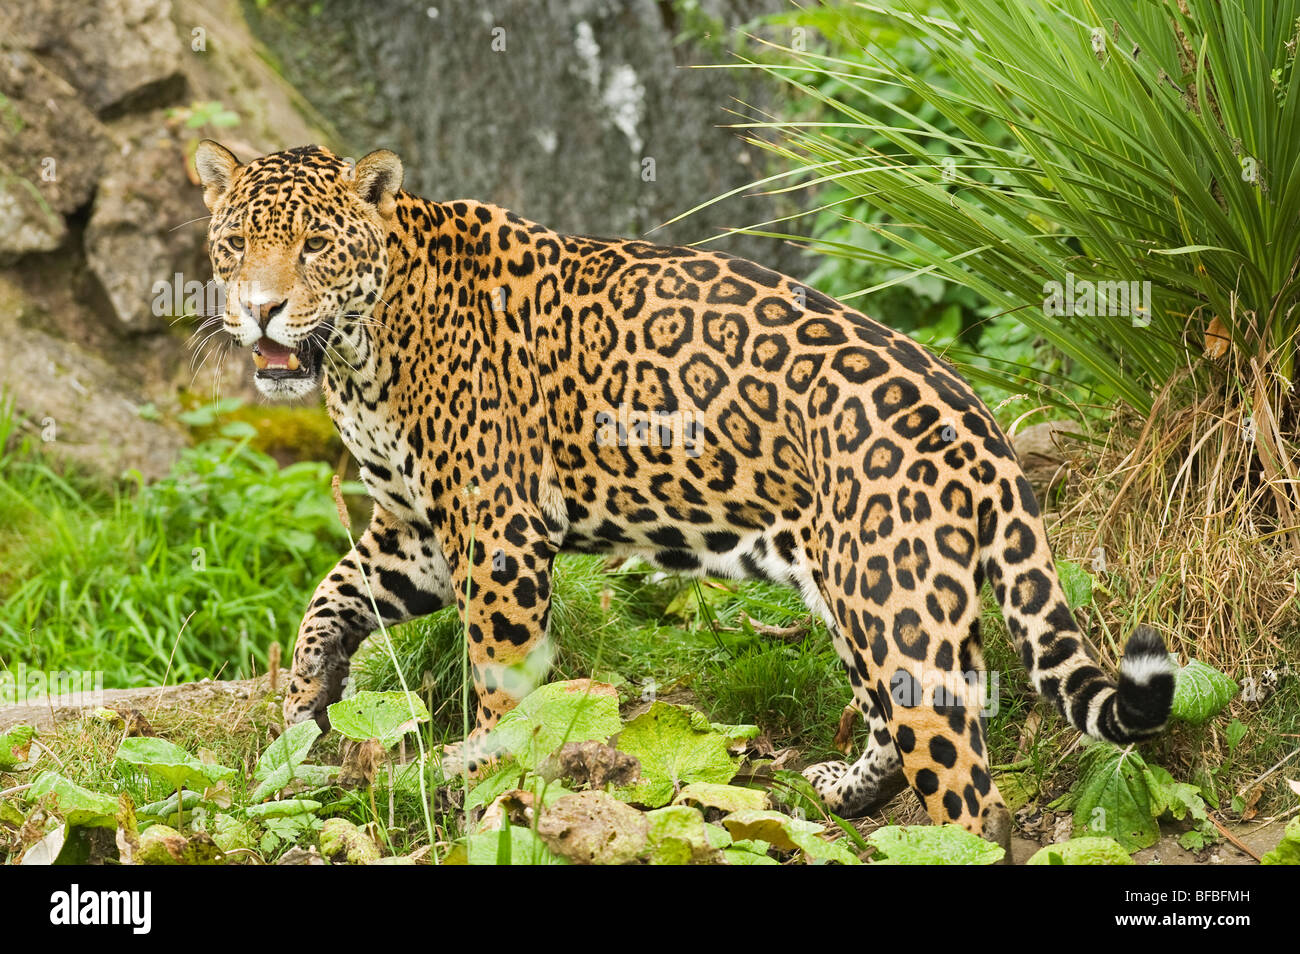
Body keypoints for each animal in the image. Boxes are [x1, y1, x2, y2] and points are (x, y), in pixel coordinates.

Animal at [194, 140, 1176, 850]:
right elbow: (330, 596)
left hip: (893, 601)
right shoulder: (419, 533)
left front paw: (490, 805)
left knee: (970, 794)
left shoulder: (500, 534)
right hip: (864, 594)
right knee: (895, 724)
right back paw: (845, 791)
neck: (361, 352)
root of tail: (979, 428)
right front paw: (307, 702)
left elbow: (503, 698)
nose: (260, 310)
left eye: (315, 246)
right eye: (236, 244)